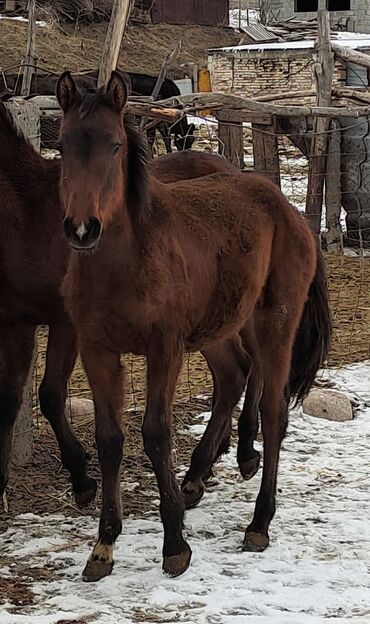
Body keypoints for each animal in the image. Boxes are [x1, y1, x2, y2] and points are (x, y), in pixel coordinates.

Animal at [56, 70, 330, 584]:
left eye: (115, 145)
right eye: (62, 144)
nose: (82, 229)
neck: (124, 262)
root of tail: (286, 207)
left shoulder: (165, 348)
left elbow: (156, 432)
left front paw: (174, 544)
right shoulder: (98, 349)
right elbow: (109, 438)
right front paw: (103, 545)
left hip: (274, 322)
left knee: (274, 412)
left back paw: (259, 521)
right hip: (220, 326)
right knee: (233, 374)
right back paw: (198, 475)